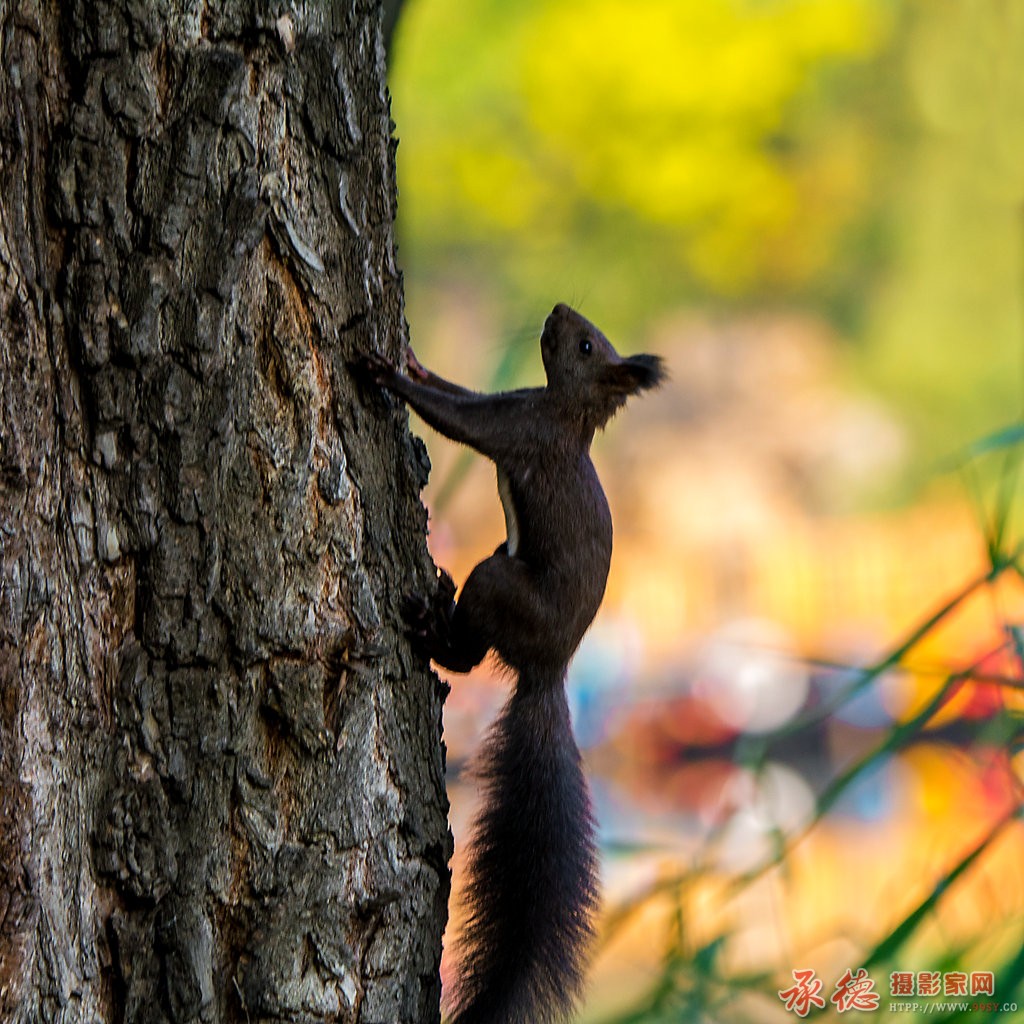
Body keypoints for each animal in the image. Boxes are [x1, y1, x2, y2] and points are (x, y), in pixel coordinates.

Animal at [360, 303, 663, 1024]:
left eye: (585, 345)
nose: (556, 310)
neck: (563, 409)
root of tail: (547, 671)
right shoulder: (517, 407)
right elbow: (462, 396)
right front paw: (414, 363)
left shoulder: (520, 430)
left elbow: (461, 419)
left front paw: (390, 376)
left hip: (497, 580)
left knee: (471, 655)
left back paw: (432, 625)